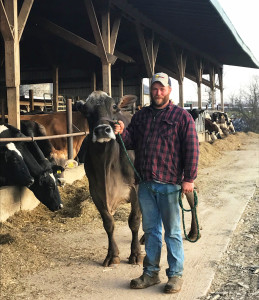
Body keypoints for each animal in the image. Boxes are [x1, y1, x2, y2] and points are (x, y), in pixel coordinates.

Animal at [76, 91, 143, 268]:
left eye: (114, 106)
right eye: (86, 111)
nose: (102, 130)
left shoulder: (137, 188)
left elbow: (134, 221)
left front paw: (136, 254)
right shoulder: (96, 191)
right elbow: (108, 224)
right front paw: (112, 255)